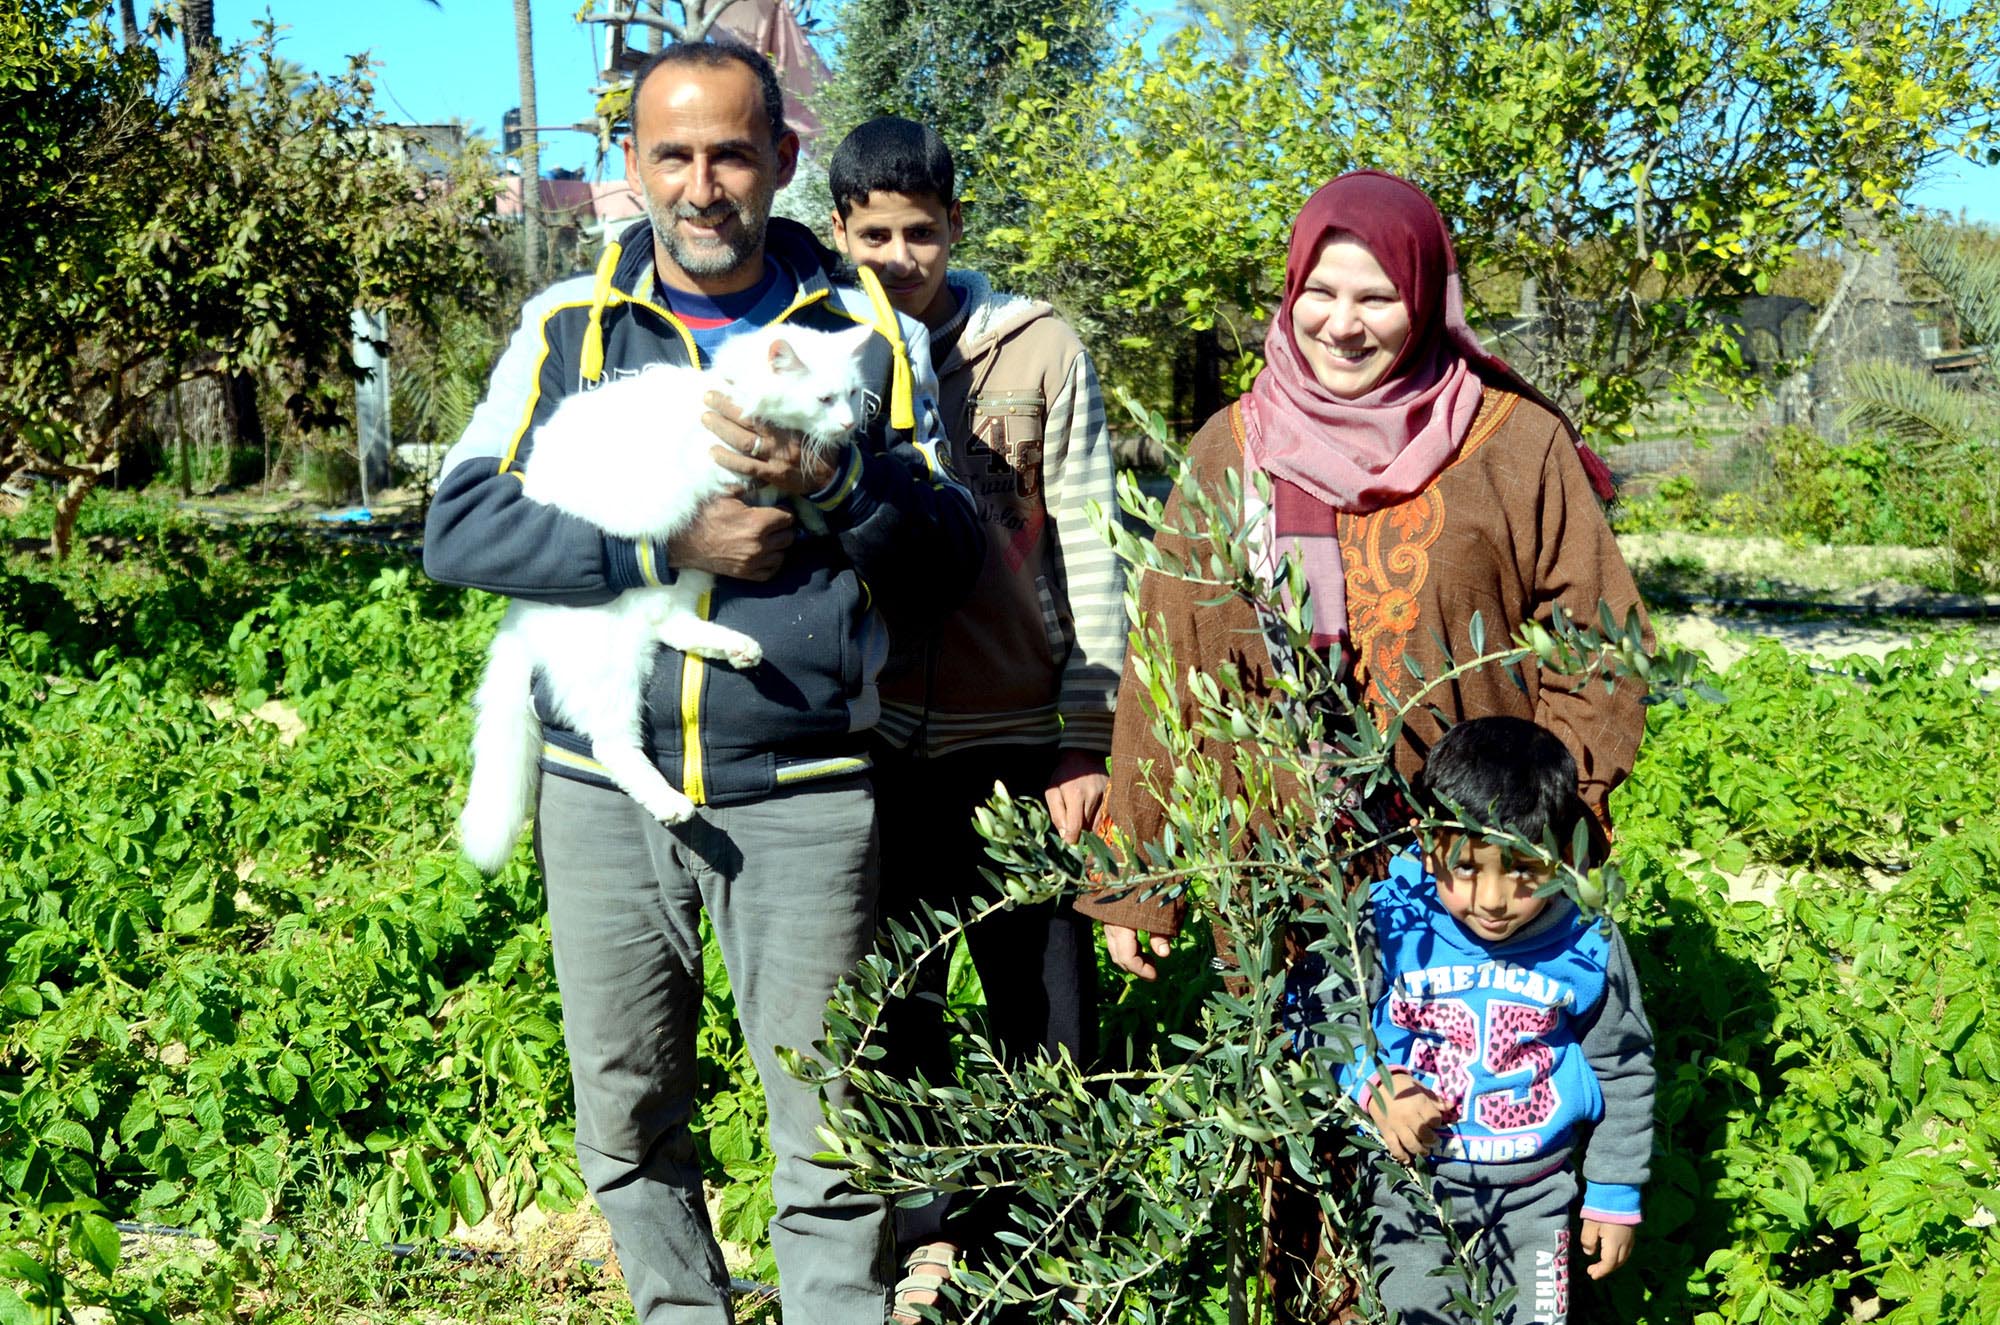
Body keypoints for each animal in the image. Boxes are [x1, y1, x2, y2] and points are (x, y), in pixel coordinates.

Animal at [464, 322, 880, 876]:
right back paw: (672, 803)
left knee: (673, 626)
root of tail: (522, 613)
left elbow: (795, 492)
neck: (728, 393)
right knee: (613, 745)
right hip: (610, 664)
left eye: (854, 394)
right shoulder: (721, 468)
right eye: (824, 398)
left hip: (684, 587)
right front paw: (789, 500)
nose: (850, 424)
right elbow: (760, 484)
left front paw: (814, 514)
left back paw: (740, 649)